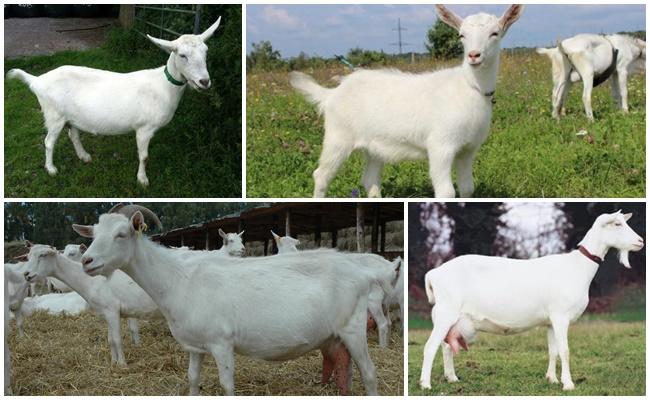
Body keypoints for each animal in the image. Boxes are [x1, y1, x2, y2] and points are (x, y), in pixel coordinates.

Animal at [6, 18, 221, 187]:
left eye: (206, 51)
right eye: (182, 55)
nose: (204, 82)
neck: (163, 86)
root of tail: (37, 81)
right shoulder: (144, 128)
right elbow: (144, 157)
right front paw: (142, 180)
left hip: (70, 116)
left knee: (73, 134)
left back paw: (84, 157)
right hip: (54, 115)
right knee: (49, 142)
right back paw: (51, 169)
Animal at [20, 243, 160, 367]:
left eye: (43, 255)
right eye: (28, 257)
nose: (26, 274)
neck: (89, 281)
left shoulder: (112, 310)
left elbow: (117, 339)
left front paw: (122, 365)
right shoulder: (106, 313)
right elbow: (110, 340)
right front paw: (113, 362)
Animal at [73, 208, 389, 395]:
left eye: (122, 234)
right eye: (94, 233)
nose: (87, 261)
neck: (180, 279)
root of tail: (362, 272)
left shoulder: (221, 343)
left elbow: (226, 385)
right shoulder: (195, 346)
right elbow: (192, 378)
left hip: (354, 327)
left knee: (370, 373)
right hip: (337, 335)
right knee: (347, 369)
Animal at [290, 5, 523, 198]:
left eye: (495, 33)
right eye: (461, 35)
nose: (474, 56)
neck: (468, 87)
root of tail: (331, 94)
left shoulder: (468, 149)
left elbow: (467, 188)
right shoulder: (440, 146)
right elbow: (446, 192)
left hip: (373, 145)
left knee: (370, 180)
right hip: (338, 137)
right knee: (321, 175)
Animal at [419, 211, 644, 391]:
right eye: (617, 224)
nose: (641, 241)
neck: (577, 267)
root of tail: (434, 274)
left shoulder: (551, 321)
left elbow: (553, 351)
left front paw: (552, 379)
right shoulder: (561, 316)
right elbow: (565, 351)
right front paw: (568, 384)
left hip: (453, 318)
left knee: (446, 346)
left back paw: (452, 378)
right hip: (446, 312)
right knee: (430, 347)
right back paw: (425, 384)